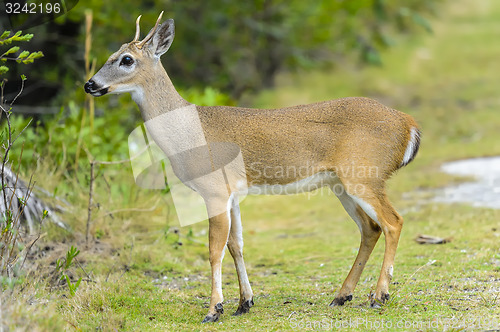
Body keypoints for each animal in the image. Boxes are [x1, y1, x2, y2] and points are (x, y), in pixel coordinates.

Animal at [84, 12, 420, 322]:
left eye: (126, 59)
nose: (90, 84)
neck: (188, 132)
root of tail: (409, 125)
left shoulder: (215, 189)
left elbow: (214, 249)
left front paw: (214, 309)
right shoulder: (232, 193)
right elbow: (236, 245)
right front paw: (244, 303)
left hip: (363, 175)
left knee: (393, 222)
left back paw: (379, 296)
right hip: (341, 184)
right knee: (370, 228)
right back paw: (342, 296)